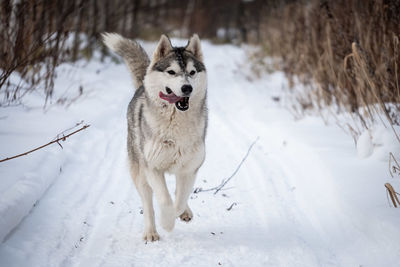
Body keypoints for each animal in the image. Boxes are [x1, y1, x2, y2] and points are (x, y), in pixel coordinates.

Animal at [101, 33, 208, 241]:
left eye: (192, 72)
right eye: (171, 72)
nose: (187, 88)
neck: (176, 124)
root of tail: (141, 87)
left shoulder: (190, 168)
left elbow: (179, 199)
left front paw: (178, 213)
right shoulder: (152, 167)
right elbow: (165, 200)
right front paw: (166, 222)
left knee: (179, 192)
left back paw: (185, 212)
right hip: (140, 174)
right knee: (148, 204)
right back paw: (151, 232)